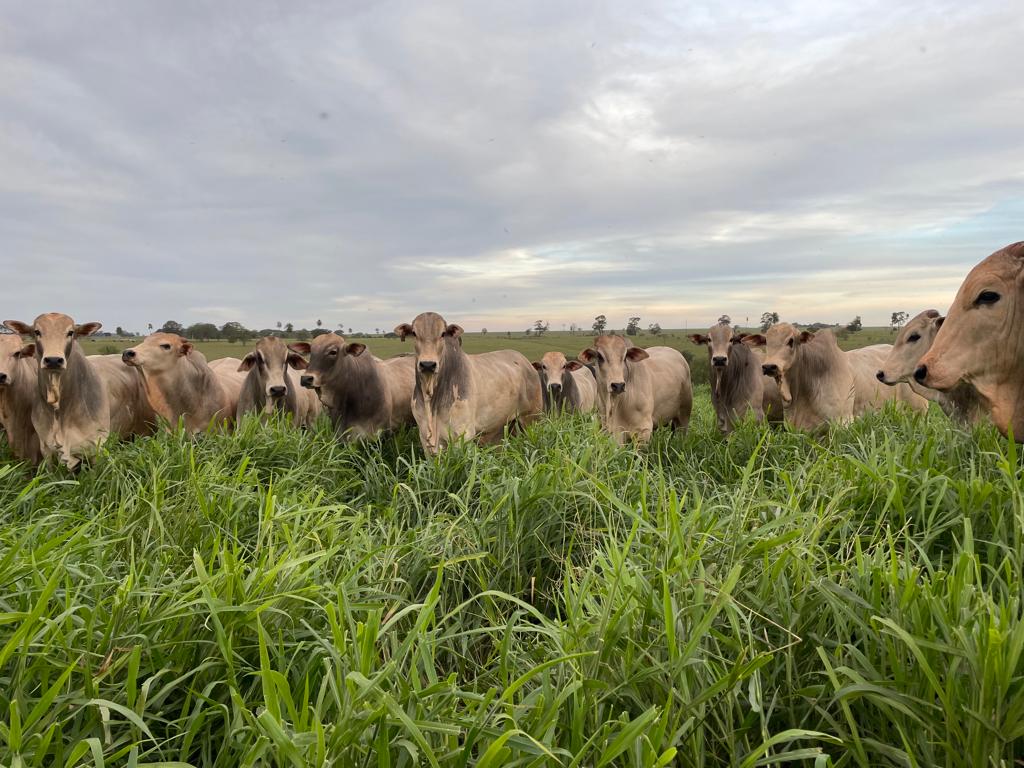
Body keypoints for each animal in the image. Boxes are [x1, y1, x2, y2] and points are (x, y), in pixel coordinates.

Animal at [4, 313, 155, 468]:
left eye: (70, 332)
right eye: (37, 332)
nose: (53, 360)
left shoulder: (97, 447)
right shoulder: (46, 448)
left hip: (147, 430)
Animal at [393, 313, 544, 456]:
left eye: (442, 333)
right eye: (414, 333)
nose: (428, 364)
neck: (431, 399)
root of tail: (526, 363)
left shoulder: (462, 435)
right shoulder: (425, 438)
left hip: (531, 419)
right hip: (501, 426)